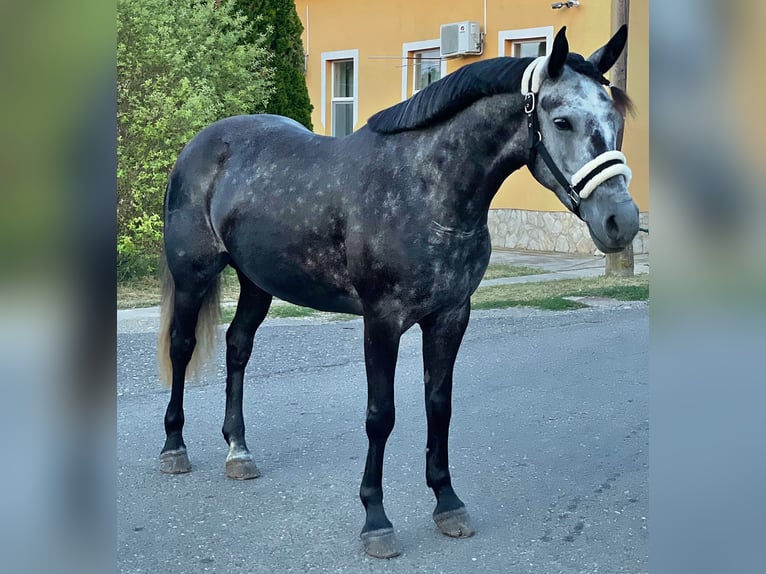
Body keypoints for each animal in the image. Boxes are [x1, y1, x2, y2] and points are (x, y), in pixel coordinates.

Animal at [159, 25, 640, 560]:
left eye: (615, 119)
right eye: (561, 121)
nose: (621, 221)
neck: (426, 189)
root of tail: (200, 146)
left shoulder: (451, 316)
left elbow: (439, 406)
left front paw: (447, 503)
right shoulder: (382, 322)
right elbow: (380, 416)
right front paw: (376, 519)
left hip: (256, 282)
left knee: (238, 346)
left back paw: (238, 451)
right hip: (193, 274)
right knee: (182, 347)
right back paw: (174, 448)